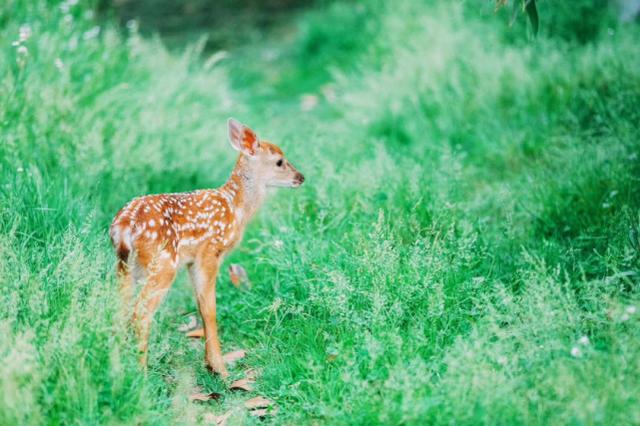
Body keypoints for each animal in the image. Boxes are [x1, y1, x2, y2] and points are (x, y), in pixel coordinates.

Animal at [109, 118, 304, 374]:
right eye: (280, 161)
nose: (300, 177)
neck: (236, 208)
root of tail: (122, 226)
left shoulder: (192, 261)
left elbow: (201, 307)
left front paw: (210, 363)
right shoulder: (211, 252)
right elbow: (210, 310)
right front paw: (220, 368)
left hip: (125, 265)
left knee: (118, 309)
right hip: (163, 263)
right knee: (140, 313)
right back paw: (141, 372)